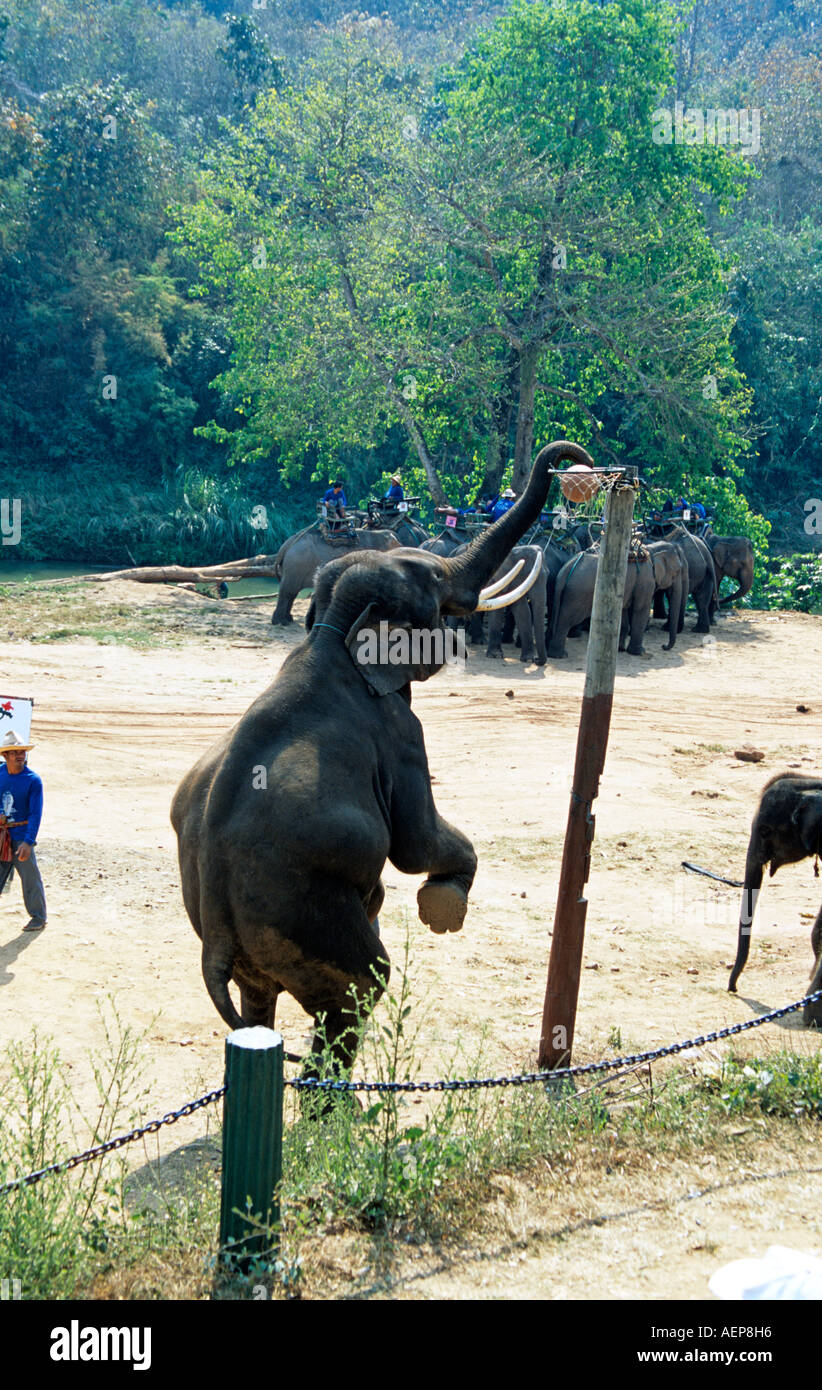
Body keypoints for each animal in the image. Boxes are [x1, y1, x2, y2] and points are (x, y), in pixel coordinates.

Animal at [170, 439, 595, 1089]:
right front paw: (443, 909)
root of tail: (213, 943)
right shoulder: (400, 734)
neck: (331, 633)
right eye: (437, 581)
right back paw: (337, 1100)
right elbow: (415, 842)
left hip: (251, 937)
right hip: (303, 920)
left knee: (258, 999)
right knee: (359, 991)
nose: (578, 460)